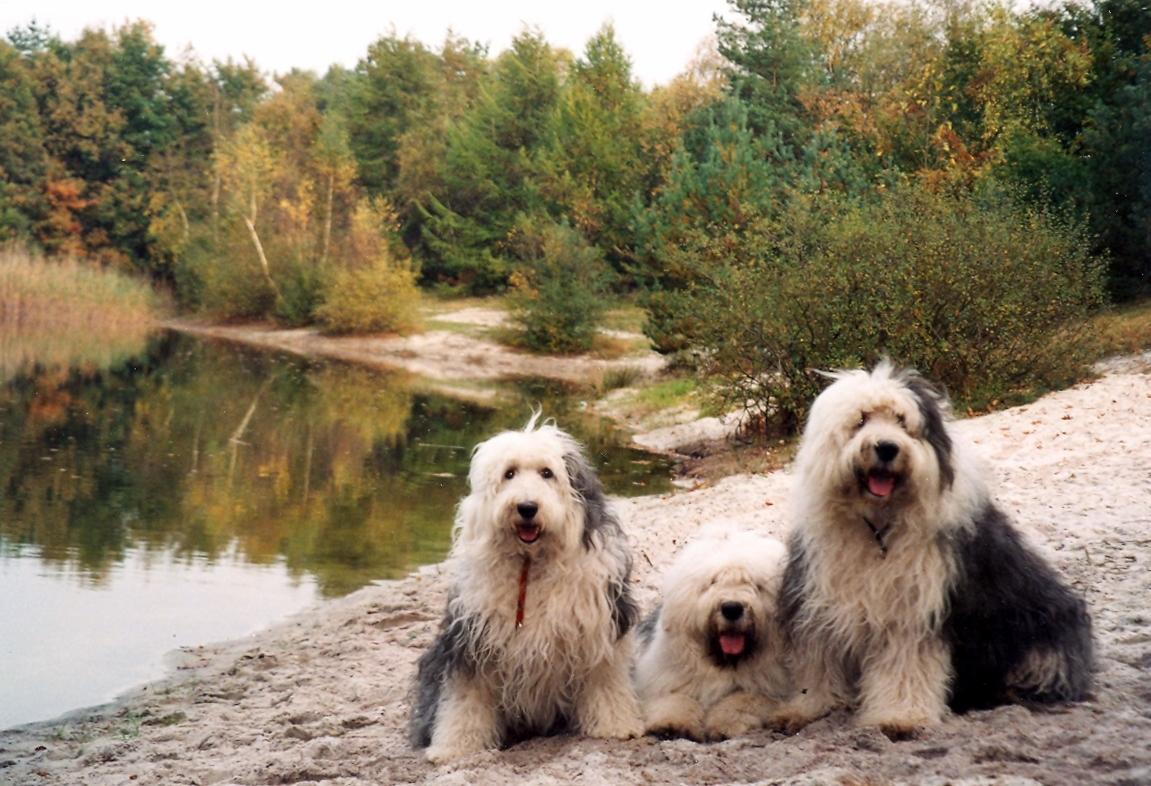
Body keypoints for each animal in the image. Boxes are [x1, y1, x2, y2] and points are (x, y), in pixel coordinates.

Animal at [409, 414, 644, 764]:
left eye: (547, 473)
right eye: (509, 473)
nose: (527, 507)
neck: (531, 562)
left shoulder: (601, 627)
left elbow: (606, 678)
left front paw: (616, 725)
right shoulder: (472, 638)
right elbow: (465, 698)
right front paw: (455, 746)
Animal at [630, 529, 791, 745]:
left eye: (756, 585)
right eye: (713, 582)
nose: (732, 608)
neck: (725, 664)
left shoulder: (771, 689)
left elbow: (743, 699)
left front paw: (724, 724)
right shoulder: (664, 681)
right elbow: (675, 698)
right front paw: (672, 725)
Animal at [778, 359, 1091, 741]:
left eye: (902, 422)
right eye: (861, 420)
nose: (886, 448)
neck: (878, 528)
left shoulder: (912, 611)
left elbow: (905, 664)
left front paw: (899, 717)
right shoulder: (820, 600)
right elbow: (818, 659)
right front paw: (806, 707)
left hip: (1041, 628)